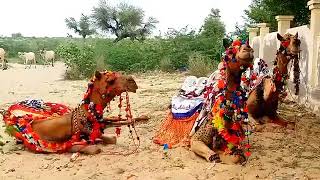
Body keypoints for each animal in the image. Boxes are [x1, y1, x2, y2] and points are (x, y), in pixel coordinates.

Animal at [0, 70, 149, 155]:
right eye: (110, 80)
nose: (133, 82)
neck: (88, 115)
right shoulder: (64, 145)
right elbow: (95, 147)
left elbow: (111, 135)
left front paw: (144, 117)